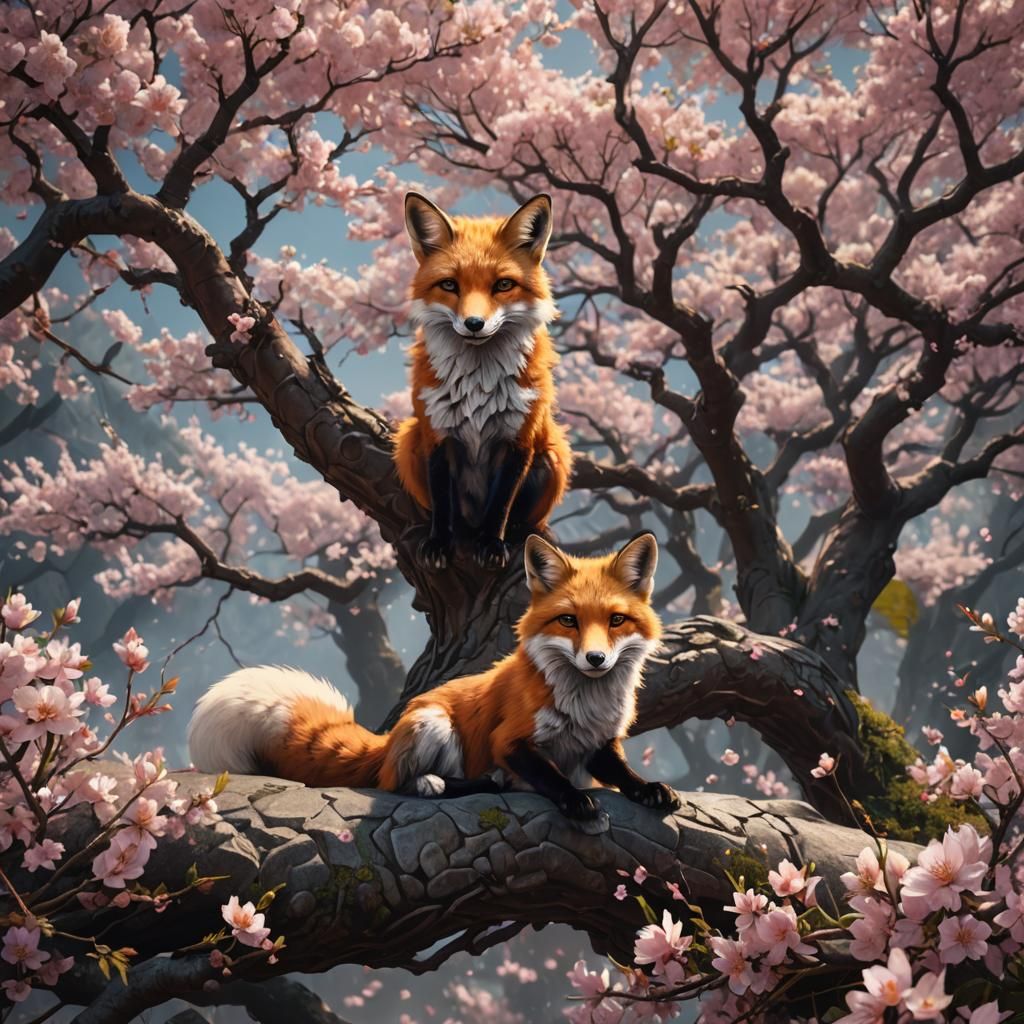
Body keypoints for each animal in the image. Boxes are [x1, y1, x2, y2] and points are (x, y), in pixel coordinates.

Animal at [188, 533, 681, 825]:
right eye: (568, 621)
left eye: (615, 620)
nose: (596, 659)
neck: (585, 702)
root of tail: (386, 741)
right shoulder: (509, 741)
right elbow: (549, 774)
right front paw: (574, 799)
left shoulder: (598, 742)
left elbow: (623, 773)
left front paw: (650, 789)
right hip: (435, 724)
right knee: (400, 783)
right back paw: (446, 783)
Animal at [393, 191, 573, 572]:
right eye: (450, 285)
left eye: (503, 285)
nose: (474, 324)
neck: (479, 384)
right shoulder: (436, 435)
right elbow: (442, 501)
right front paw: (440, 543)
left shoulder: (520, 439)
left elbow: (501, 504)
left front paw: (492, 543)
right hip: (408, 440)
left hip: (553, 454)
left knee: (526, 518)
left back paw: (520, 532)